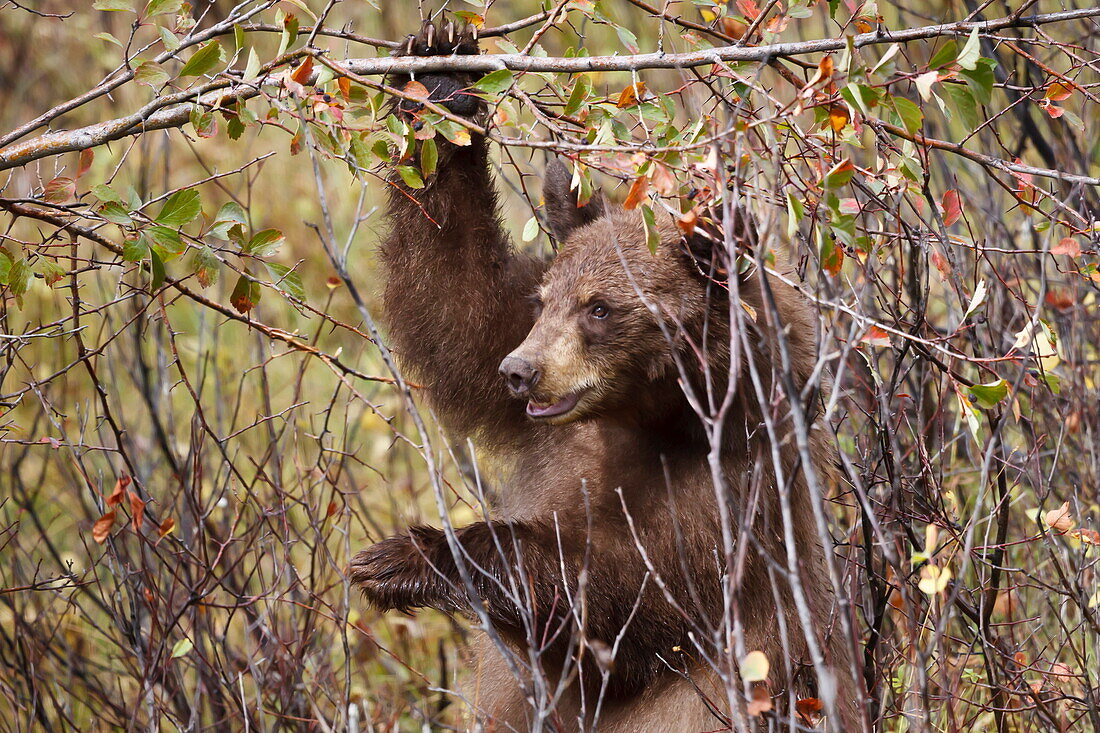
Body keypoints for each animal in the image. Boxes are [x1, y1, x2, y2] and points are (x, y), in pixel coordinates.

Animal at [347, 18, 862, 730]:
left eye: (600, 308)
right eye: (547, 301)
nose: (522, 371)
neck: (647, 418)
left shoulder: (728, 502)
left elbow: (631, 602)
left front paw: (410, 556)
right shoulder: (553, 422)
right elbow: (459, 305)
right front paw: (442, 77)